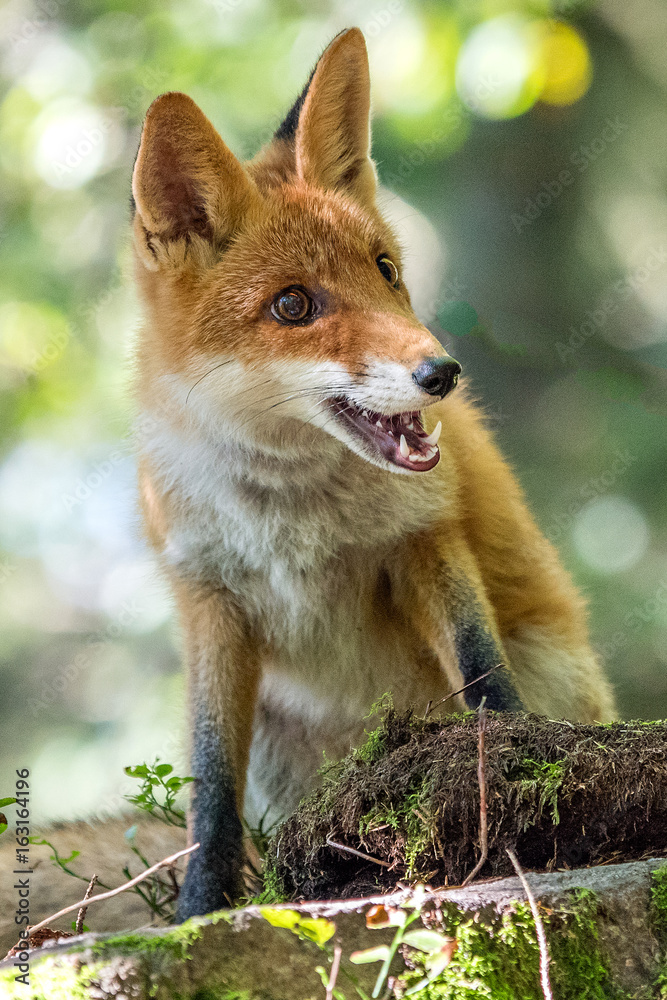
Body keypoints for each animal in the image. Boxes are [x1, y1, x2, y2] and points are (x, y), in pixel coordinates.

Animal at [130, 27, 615, 922]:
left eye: (385, 269)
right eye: (292, 306)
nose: (442, 373)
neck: (292, 515)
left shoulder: (423, 539)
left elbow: (481, 674)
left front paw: (516, 772)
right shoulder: (209, 598)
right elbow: (211, 787)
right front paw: (198, 910)